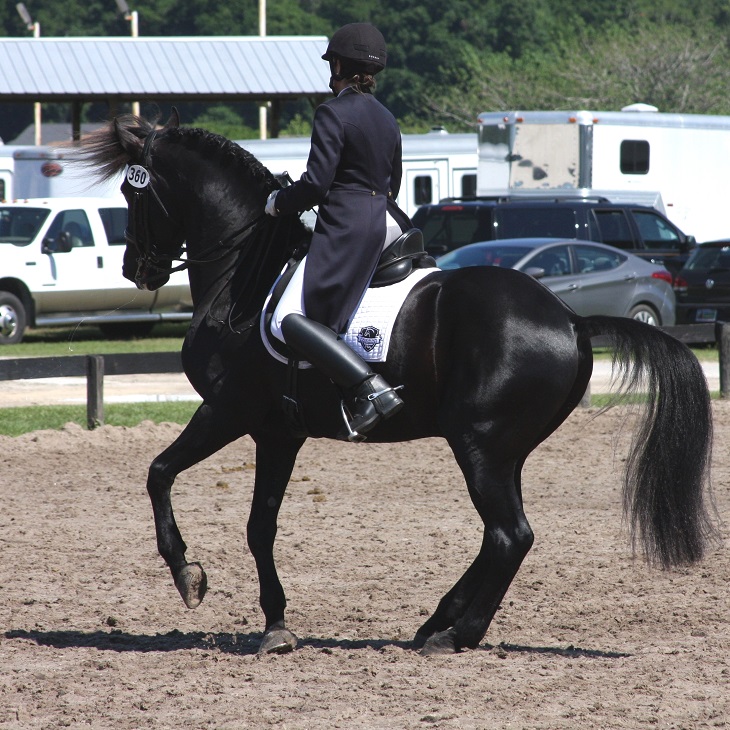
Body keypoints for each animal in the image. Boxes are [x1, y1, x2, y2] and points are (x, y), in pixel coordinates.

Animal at [77, 112, 712, 656]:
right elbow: (260, 526)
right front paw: (276, 625)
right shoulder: (278, 432)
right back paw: (438, 620)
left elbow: (160, 472)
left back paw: (455, 634)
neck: (244, 275)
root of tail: (570, 318)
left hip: (478, 444)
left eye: (133, 194)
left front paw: (188, 575)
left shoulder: (229, 410)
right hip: (504, 450)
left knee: (510, 535)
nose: (137, 269)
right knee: (500, 535)